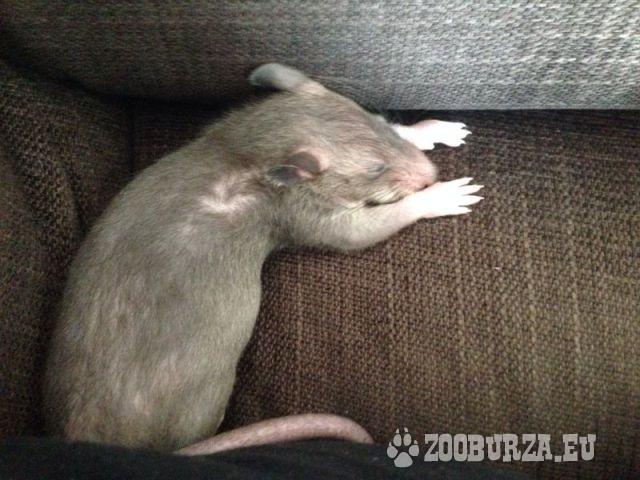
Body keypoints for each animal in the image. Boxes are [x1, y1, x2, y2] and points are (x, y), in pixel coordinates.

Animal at [43, 63, 482, 454]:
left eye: (381, 120)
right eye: (376, 169)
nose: (430, 173)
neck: (244, 147)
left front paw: (428, 129)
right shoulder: (297, 211)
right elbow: (354, 233)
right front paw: (438, 196)